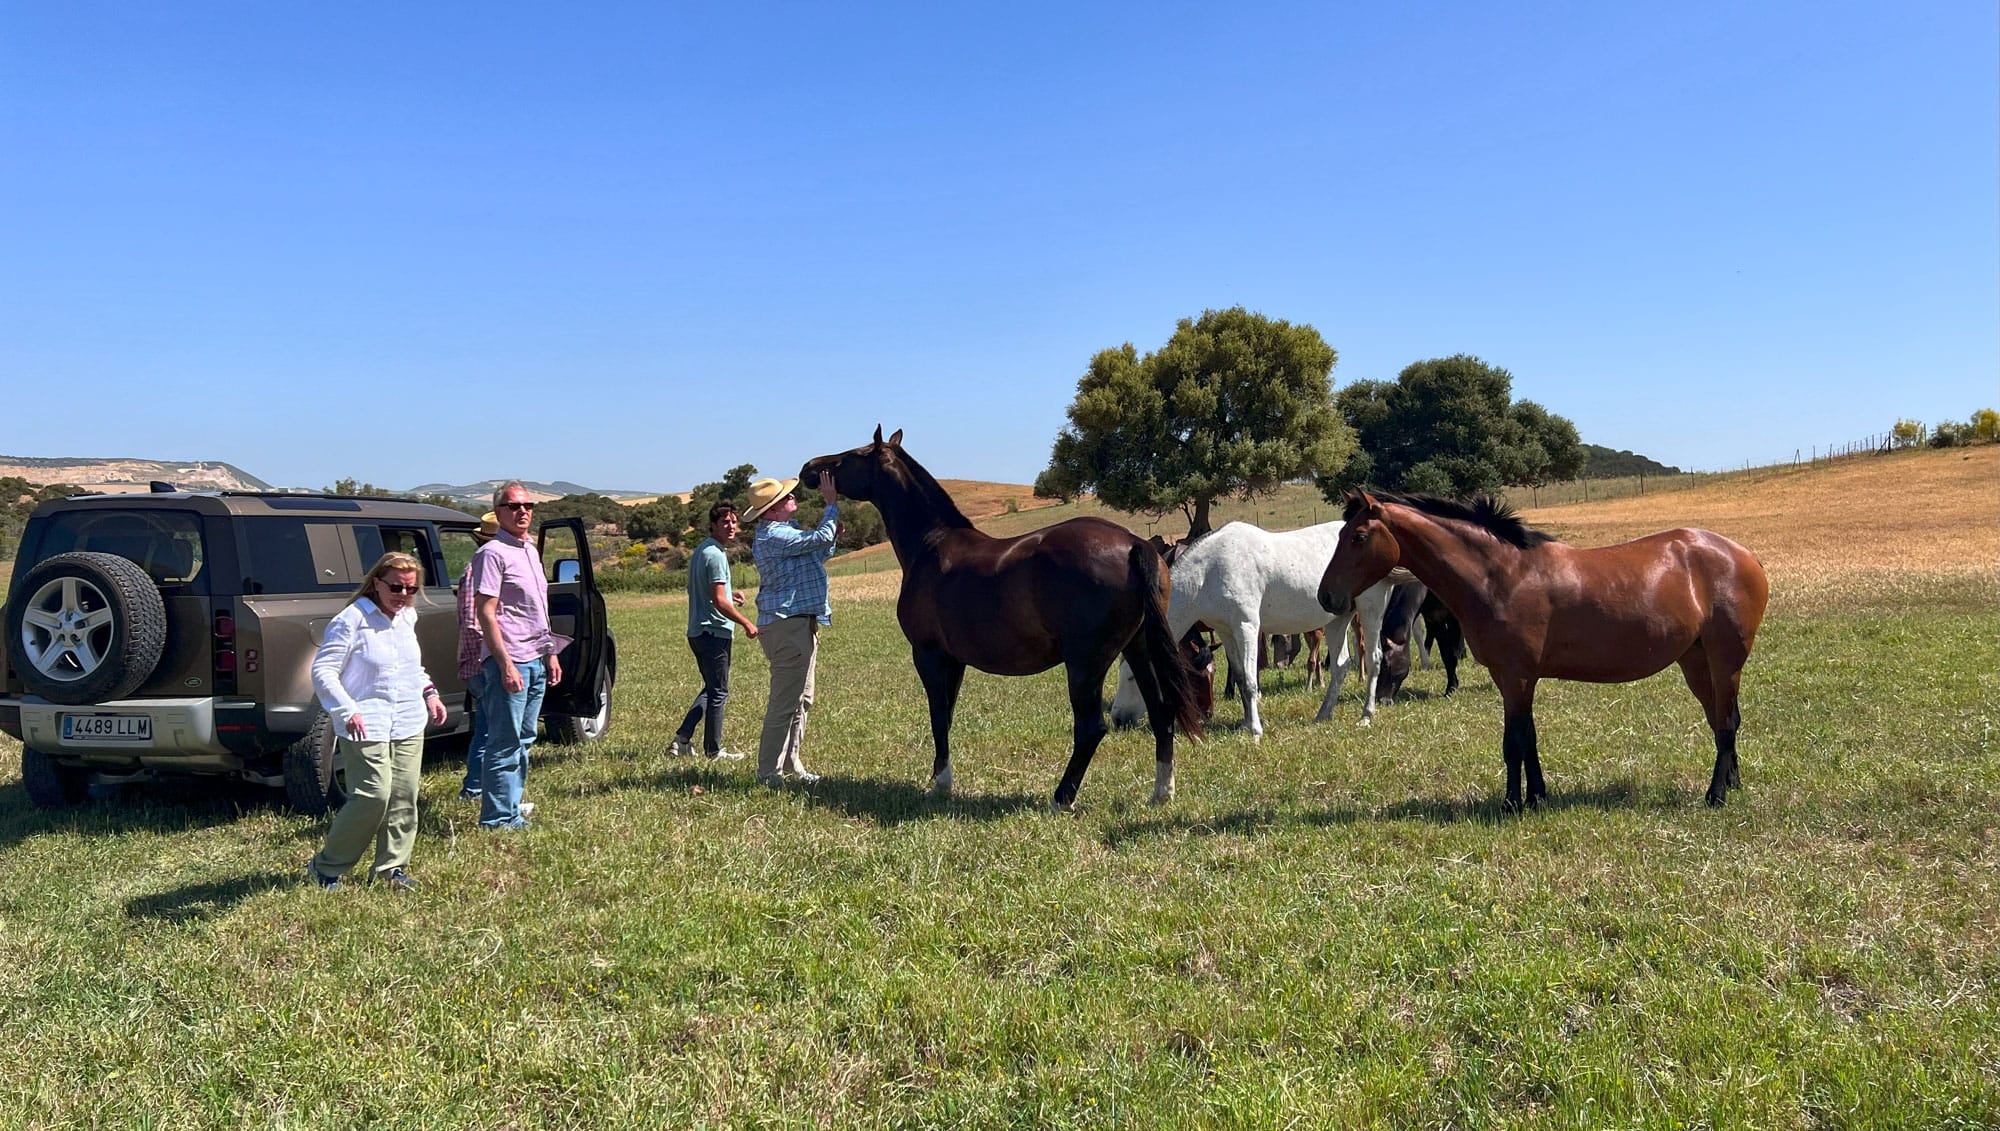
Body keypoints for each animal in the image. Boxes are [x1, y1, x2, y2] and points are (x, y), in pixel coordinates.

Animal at [796, 427, 1200, 815]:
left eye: (852, 455)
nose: (808, 469)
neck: (931, 544)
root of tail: (1133, 544)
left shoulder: (927, 654)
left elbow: (937, 715)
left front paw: (940, 784)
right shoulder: (954, 660)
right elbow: (948, 714)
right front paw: (941, 778)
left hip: (1085, 663)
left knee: (1090, 728)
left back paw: (1061, 798)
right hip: (1139, 648)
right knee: (1162, 714)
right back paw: (1161, 794)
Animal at [1104, 519, 1400, 739]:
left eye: (1131, 678)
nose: (1118, 719)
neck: (1208, 572)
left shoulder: (1247, 626)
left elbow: (1249, 680)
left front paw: (1256, 731)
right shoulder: (1226, 630)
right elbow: (1238, 674)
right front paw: (1246, 723)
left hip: (1370, 609)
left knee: (1374, 658)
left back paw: (1366, 716)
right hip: (1337, 618)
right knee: (1340, 665)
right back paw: (1323, 715)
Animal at [1328, 491, 1768, 811]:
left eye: (1358, 537)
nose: (1330, 597)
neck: (1503, 576)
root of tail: (1744, 555)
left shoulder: (1516, 677)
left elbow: (1515, 742)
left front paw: (1512, 803)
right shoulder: (1514, 679)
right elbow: (1528, 739)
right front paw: (1535, 797)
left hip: (1726, 661)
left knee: (1726, 723)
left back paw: (1716, 795)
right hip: (1696, 661)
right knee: (1722, 720)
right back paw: (1732, 782)